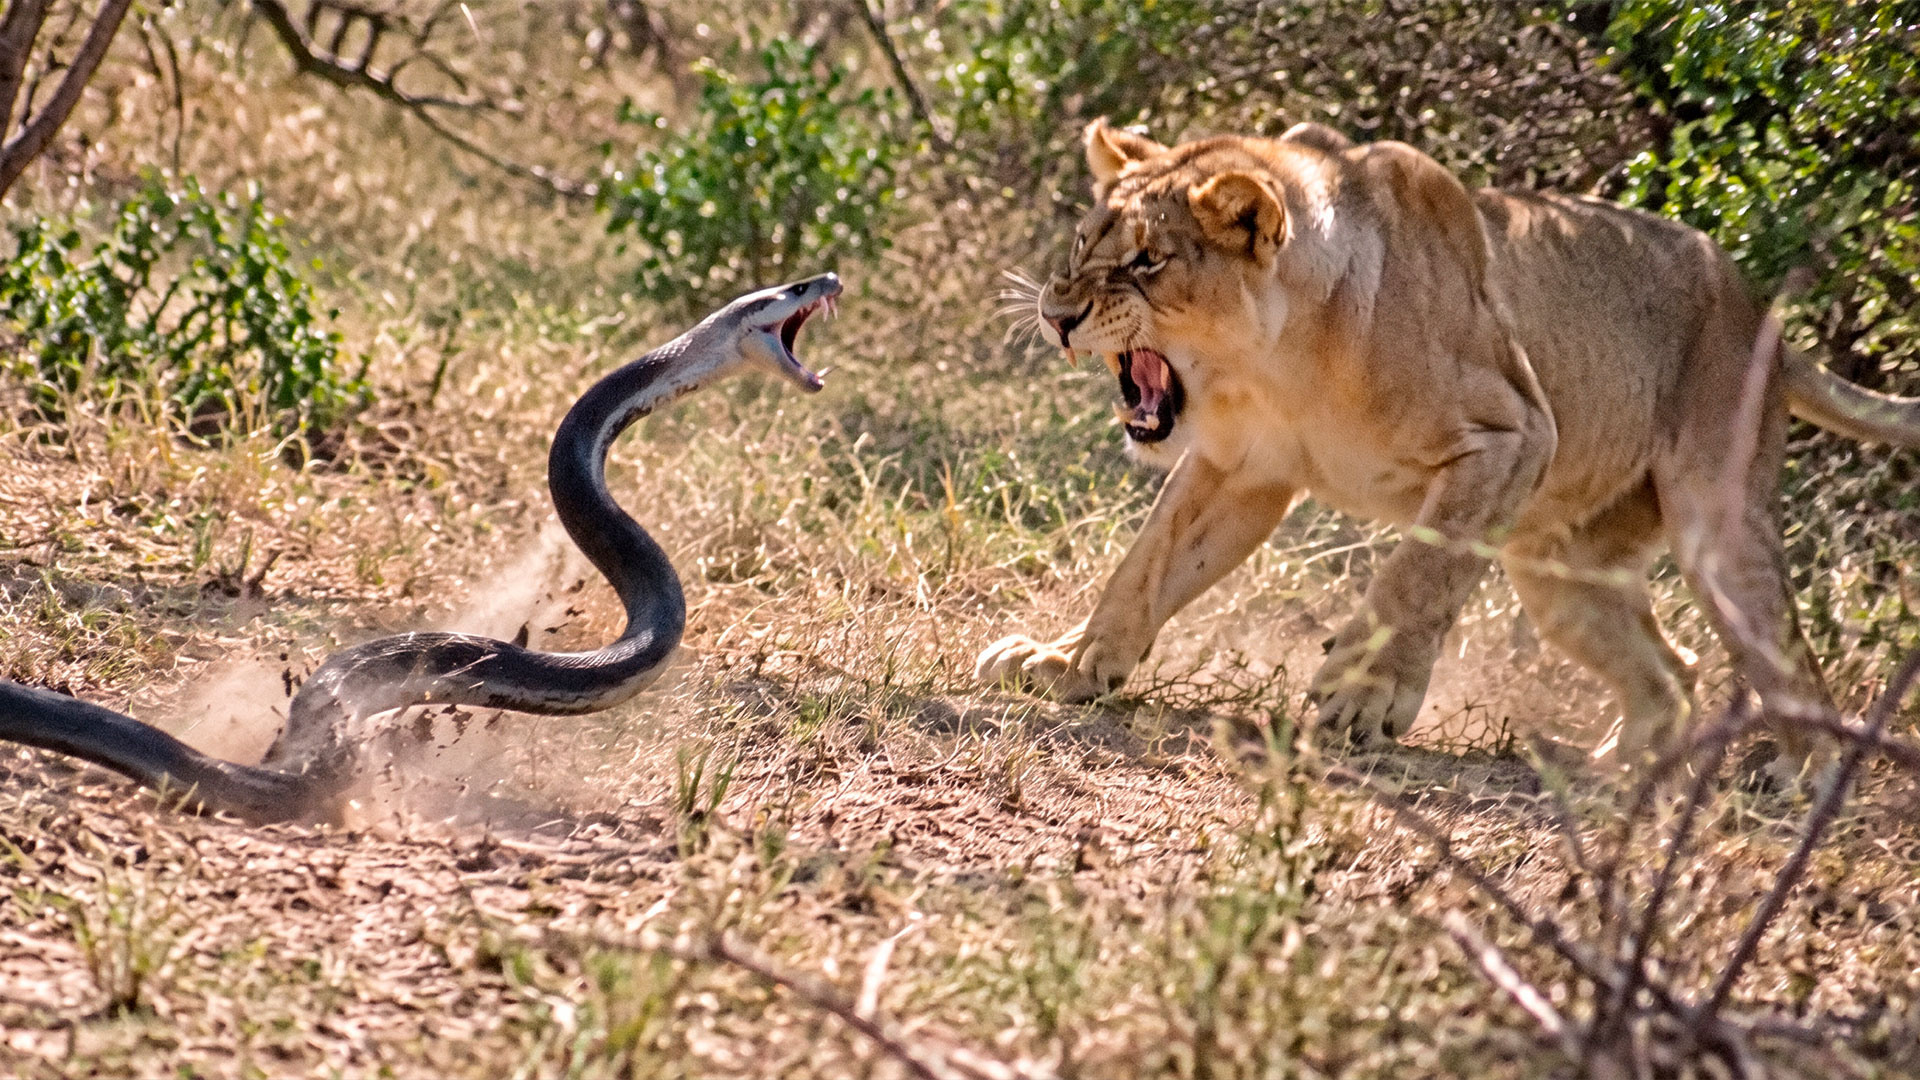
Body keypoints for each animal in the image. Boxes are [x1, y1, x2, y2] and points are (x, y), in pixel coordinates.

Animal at [976, 118, 1920, 778]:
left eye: (1147, 261)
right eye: (1083, 244)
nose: (1057, 314)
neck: (1270, 366)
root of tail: (1763, 312)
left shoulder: (1514, 433)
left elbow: (1418, 572)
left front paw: (1363, 696)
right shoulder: (1241, 470)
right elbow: (1144, 566)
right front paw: (1066, 660)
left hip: (1717, 532)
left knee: (1791, 665)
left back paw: (1797, 781)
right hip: (1558, 575)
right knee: (1675, 669)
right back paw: (1610, 771)